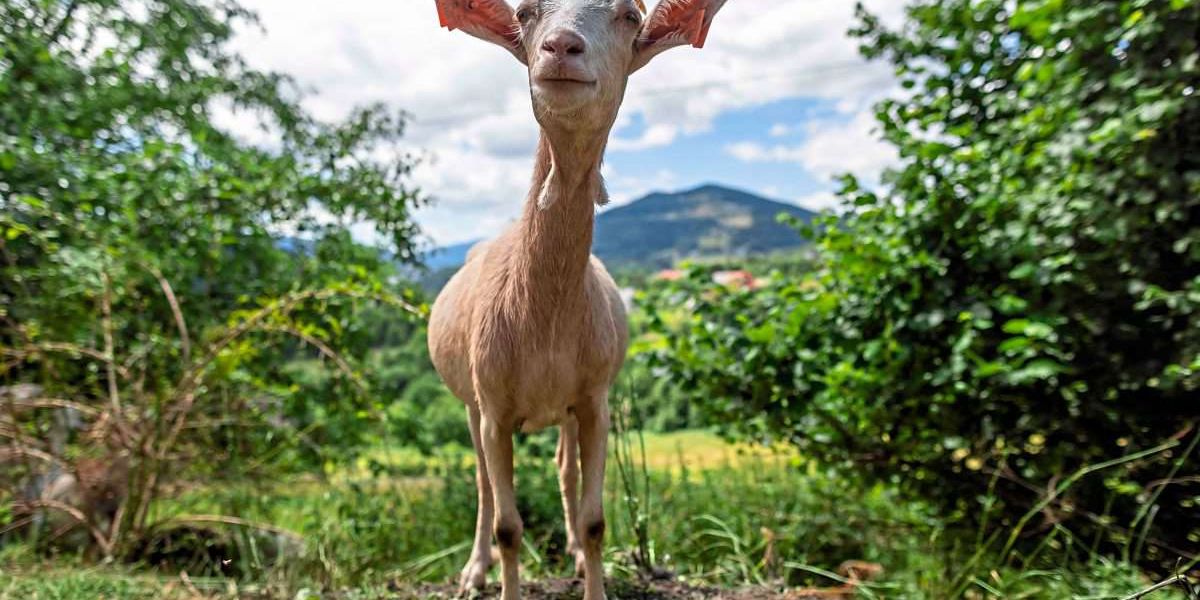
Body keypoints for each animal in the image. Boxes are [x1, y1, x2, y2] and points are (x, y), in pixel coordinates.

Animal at [432, 2, 729, 597]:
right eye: (525, 13)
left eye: (630, 14)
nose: (562, 47)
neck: (543, 324)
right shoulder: (492, 400)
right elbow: (507, 526)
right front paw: (495, 570)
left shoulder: (594, 397)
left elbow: (596, 520)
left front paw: (584, 556)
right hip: (470, 399)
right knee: (481, 480)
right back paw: (473, 571)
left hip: (567, 405)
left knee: (563, 466)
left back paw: (567, 549)